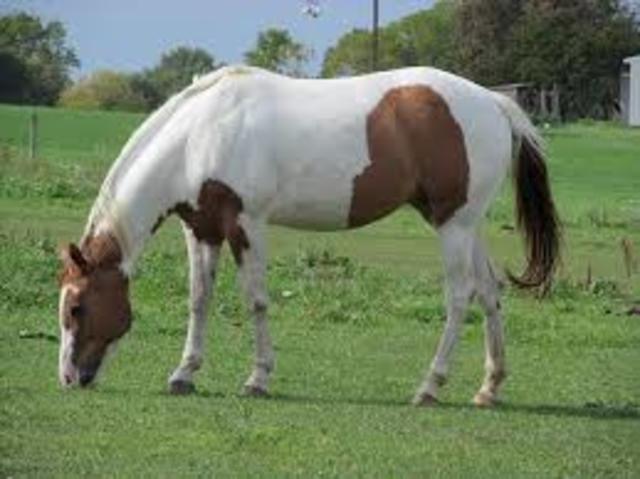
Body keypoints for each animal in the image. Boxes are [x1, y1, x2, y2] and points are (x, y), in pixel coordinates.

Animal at [57, 65, 560, 406]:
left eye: (77, 307)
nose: (69, 378)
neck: (202, 133)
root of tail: (493, 103)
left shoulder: (246, 224)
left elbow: (256, 300)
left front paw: (258, 378)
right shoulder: (201, 230)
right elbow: (199, 300)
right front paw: (184, 373)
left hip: (453, 226)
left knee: (459, 297)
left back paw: (430, 385)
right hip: (467, 224)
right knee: (489, 293)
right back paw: (489, 387)